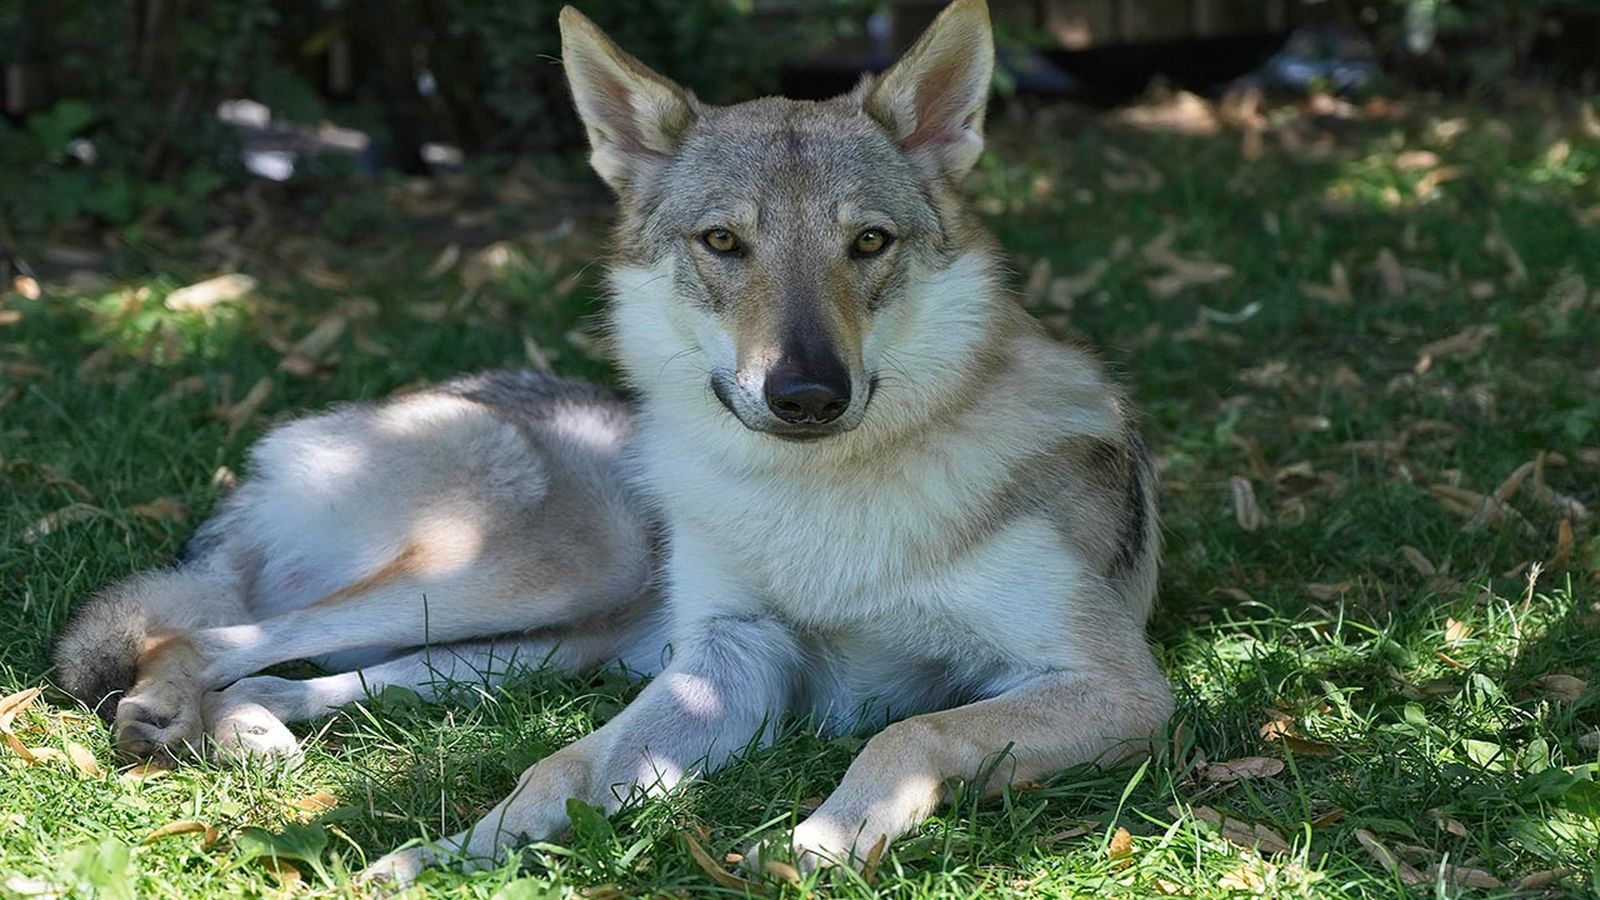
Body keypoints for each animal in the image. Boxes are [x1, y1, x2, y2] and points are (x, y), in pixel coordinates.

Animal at [53, 0, 1172, 883]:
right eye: (723, 243)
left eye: (868, 244)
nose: (808, 394)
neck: (816, 502)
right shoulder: (730, 661)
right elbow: (560, 766)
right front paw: (441, 858)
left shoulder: (1119, 688)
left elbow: (909, 732)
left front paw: (815, 845)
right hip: (556, 577)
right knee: (203, 636)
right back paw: (177, 717)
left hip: (546, 641)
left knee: (279, 672)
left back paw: (238, 732)